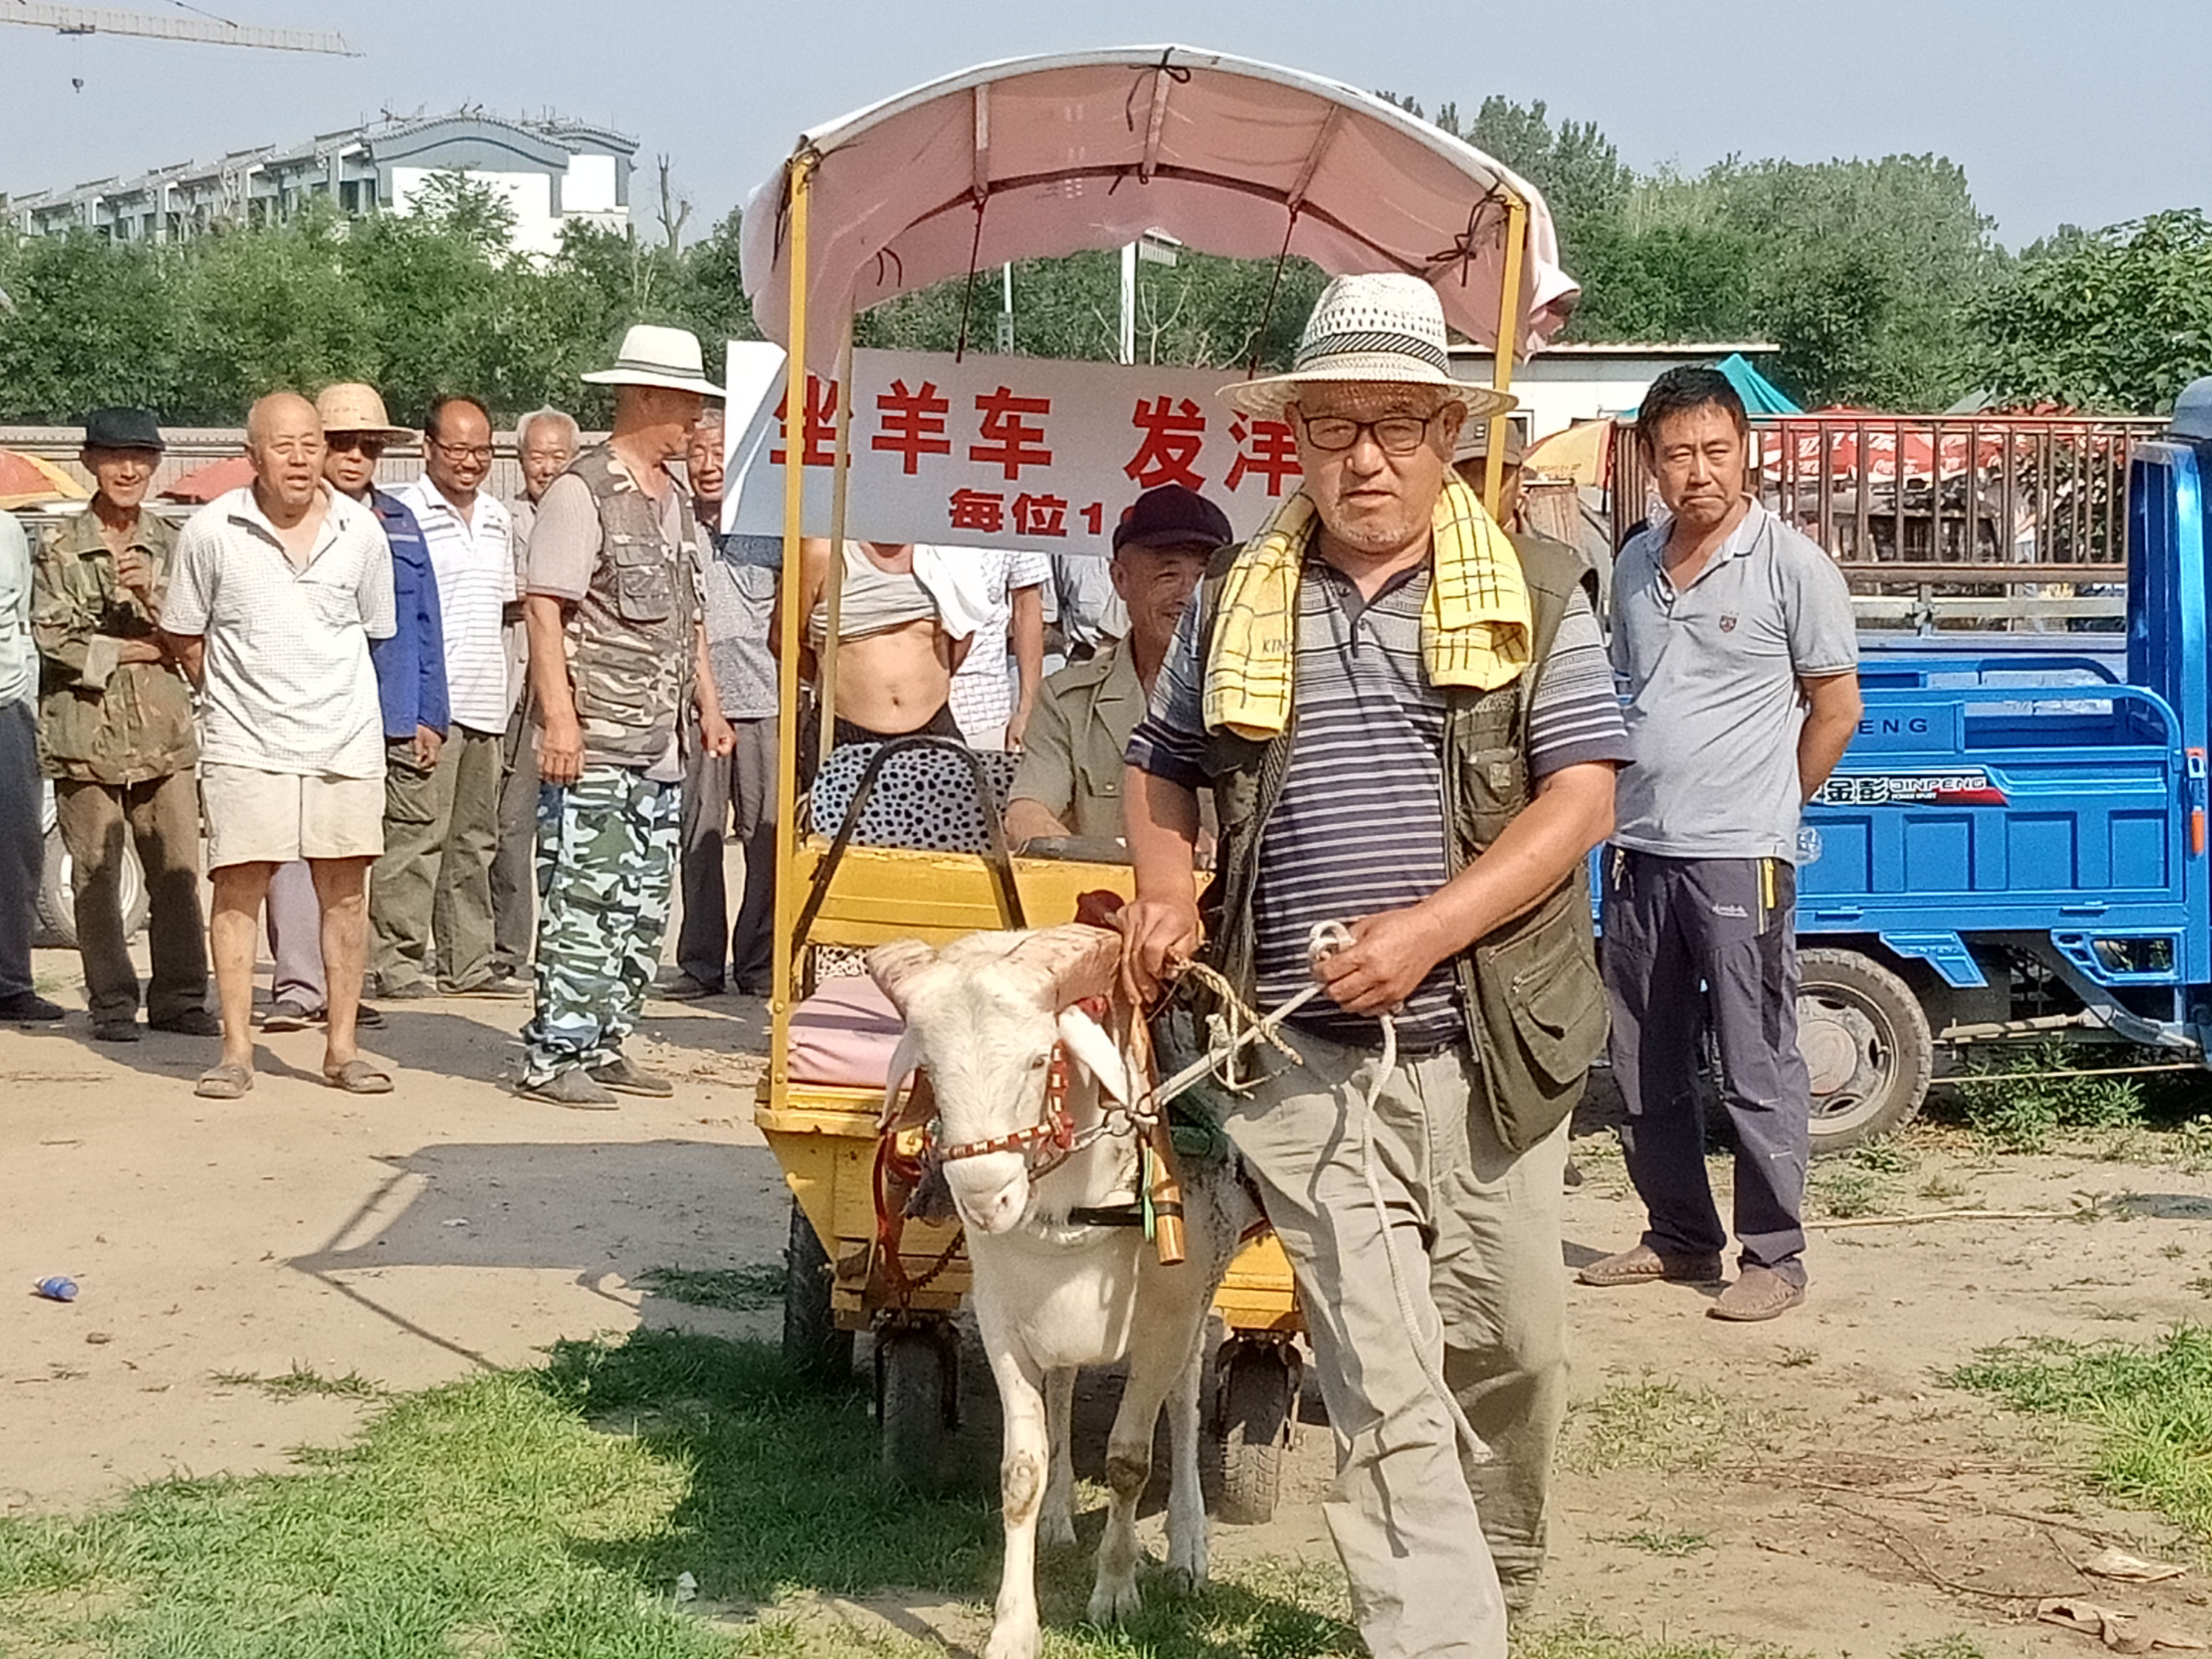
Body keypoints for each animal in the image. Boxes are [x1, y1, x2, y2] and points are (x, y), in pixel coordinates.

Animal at [876, 929, 1265, 1654]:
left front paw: (1114, 1593)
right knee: (1063, 1390)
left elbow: (1129, 1462)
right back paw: (1060, 1519)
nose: (984, 1198)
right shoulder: (1004, 1324)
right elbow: (1021, 1472)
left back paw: (1185, 1551)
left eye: (1038, 1059)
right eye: (930, 1068)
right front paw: (1013, 1628)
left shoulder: (1164, 1322)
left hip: (1196, 1301)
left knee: (1185, 1400)